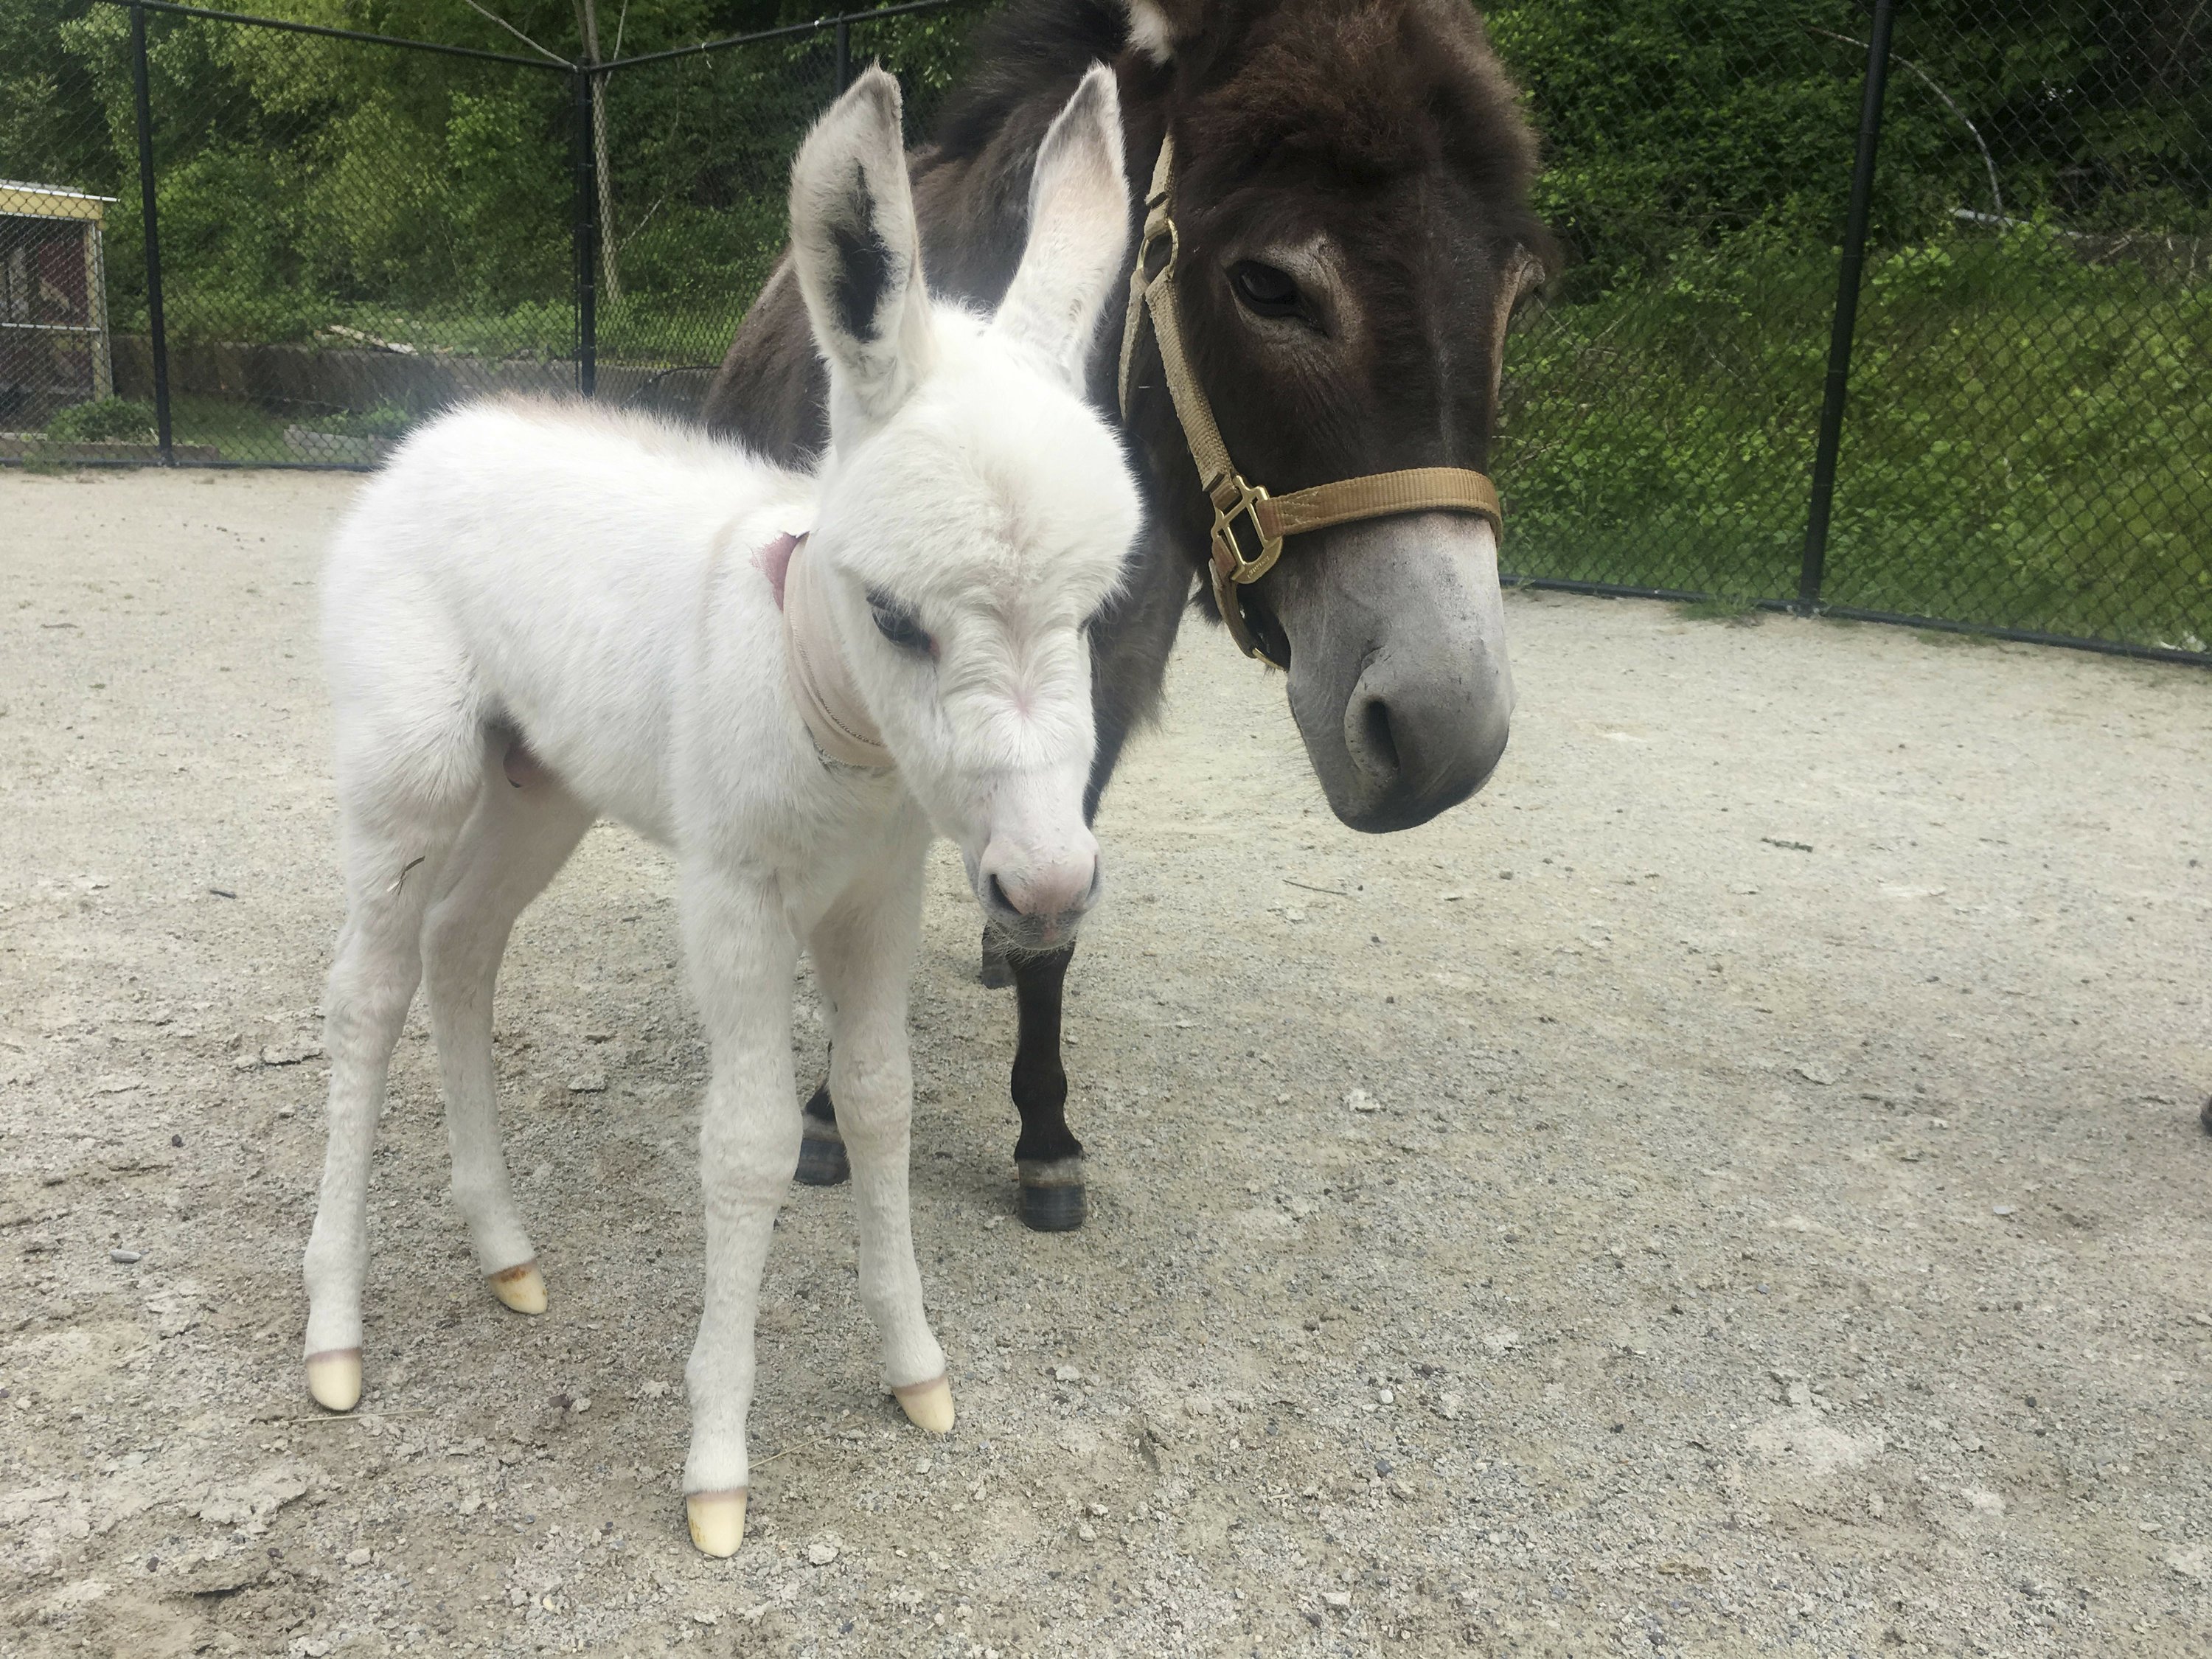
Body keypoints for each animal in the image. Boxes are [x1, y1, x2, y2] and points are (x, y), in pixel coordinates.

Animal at [303, 65, 1133, 1566]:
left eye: (1099, 611)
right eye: (895, 616)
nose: (1046, 890)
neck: (830, 721)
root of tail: (438, 430)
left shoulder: (877, 896)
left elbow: (879, 1101)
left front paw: (916, 1370)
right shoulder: (736, 902)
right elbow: (746, 1146)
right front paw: (717, 1467)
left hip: (541, 788)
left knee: (462, 951)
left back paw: (505, 1251)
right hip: (412, 773)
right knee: (369, 990)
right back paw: (333, 1330)